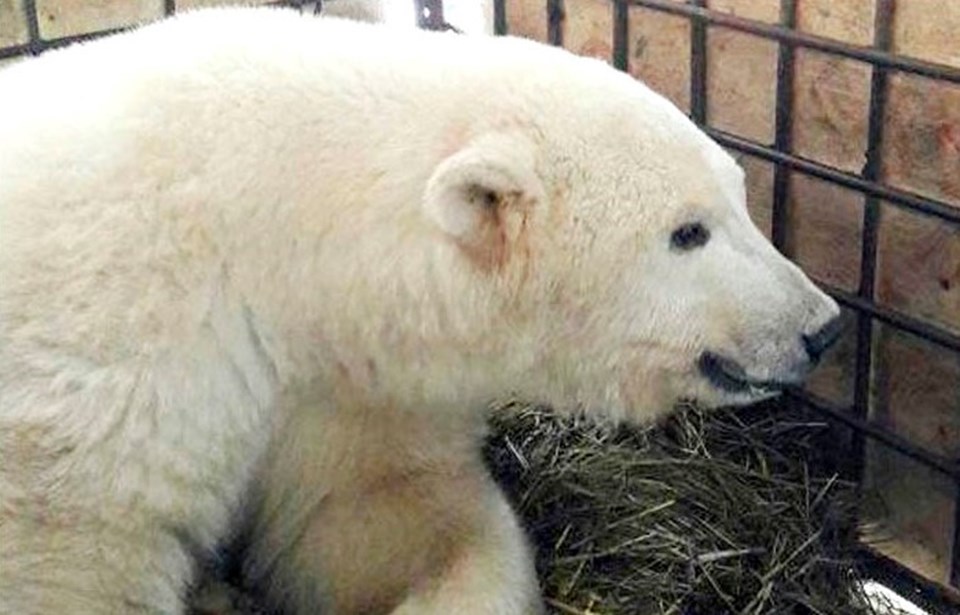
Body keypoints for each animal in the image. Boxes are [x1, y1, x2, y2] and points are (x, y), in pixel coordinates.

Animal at [0, 6, 840, 615]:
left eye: (740, 195)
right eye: (687, 232)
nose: (822, 326)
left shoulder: (341, 378)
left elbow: (380, 505)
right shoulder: (104, 408)